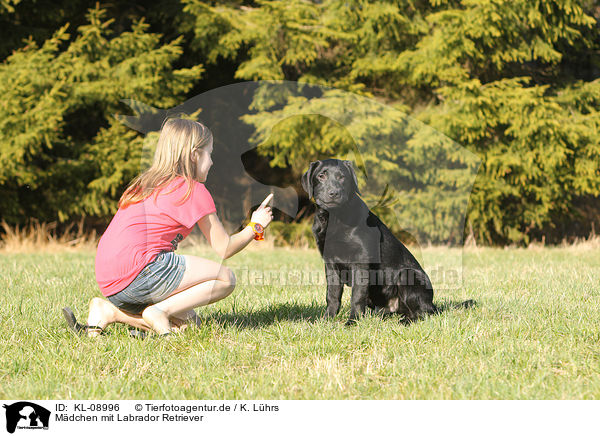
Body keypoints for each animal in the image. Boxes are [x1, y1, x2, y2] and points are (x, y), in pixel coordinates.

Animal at [302, 159, 438, 324]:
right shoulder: (330, 263)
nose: (334, 193)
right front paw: (327, 319)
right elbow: (332, 295)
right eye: (321, 176)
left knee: (423, 313)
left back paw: (405, 321)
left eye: (342, 177)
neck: (334, 218)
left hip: (407, 275)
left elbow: (357, 296)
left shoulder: (361, 261)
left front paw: (352, 322)